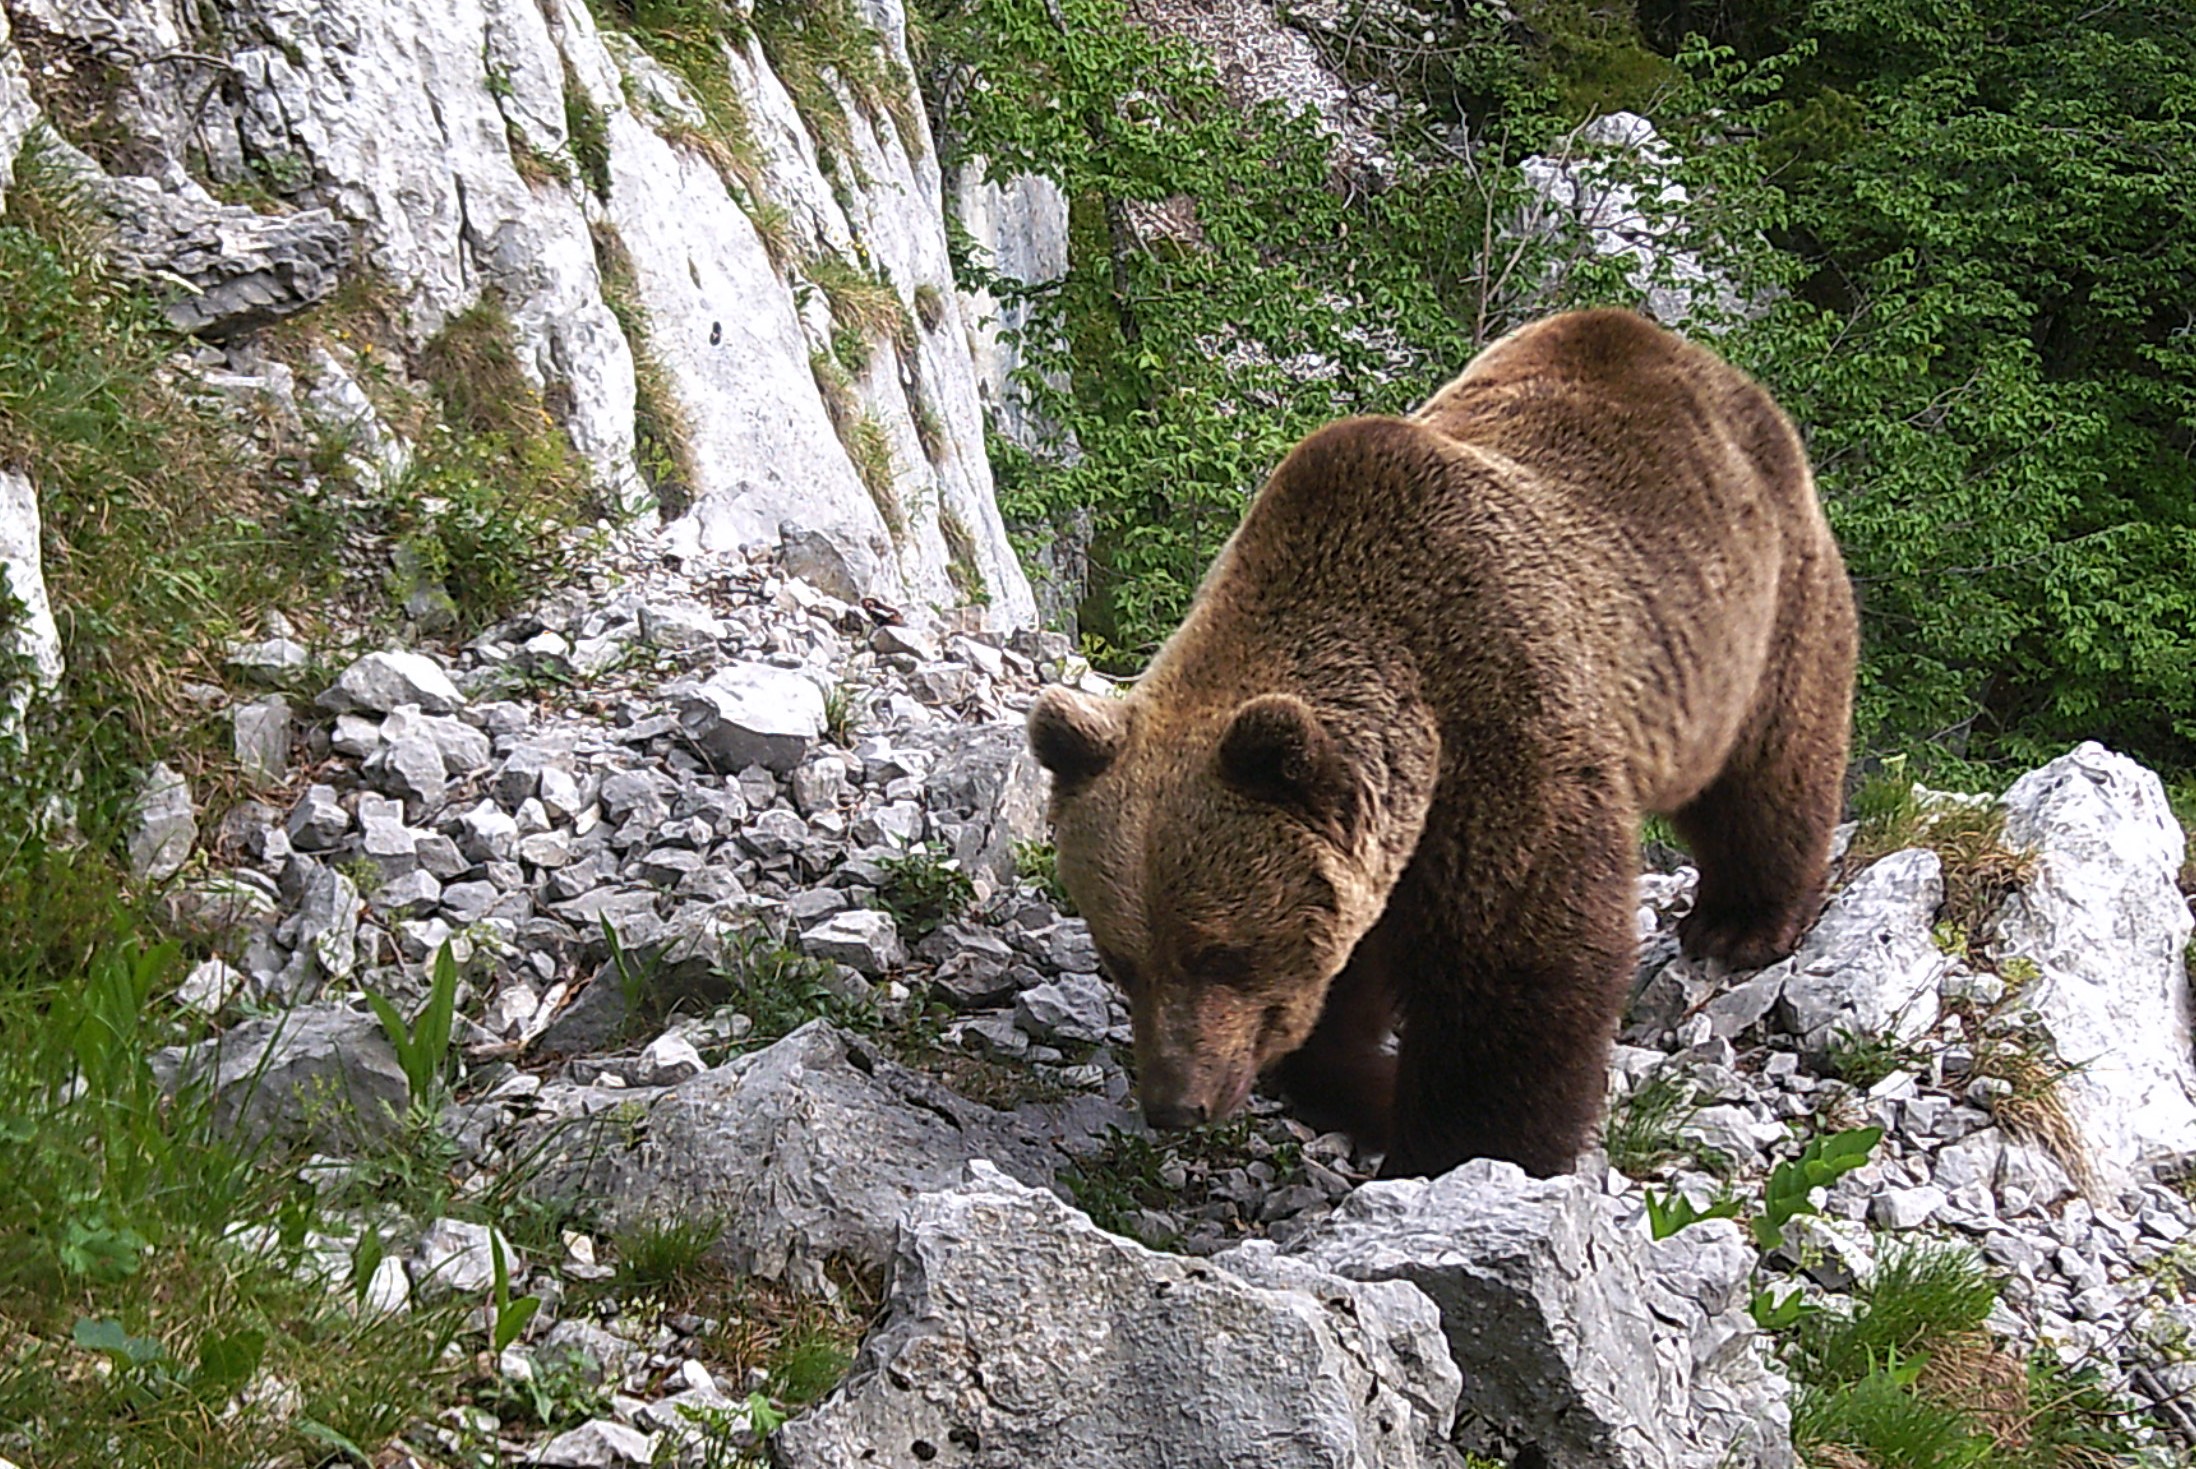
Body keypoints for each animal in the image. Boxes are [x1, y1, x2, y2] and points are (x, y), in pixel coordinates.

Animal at [1023, 309, 1853, 1176]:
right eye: (1121, 959)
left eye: (1221, 951)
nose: (1173, 1103)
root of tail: (1685, 354)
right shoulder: (1373, 839)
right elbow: (1340, 989)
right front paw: (1374, 1092)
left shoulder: (1495, 730)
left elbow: (1514, 958)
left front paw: (1466, 1147)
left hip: (1757, 608)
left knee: (1770, 762)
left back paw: (1739, 923)